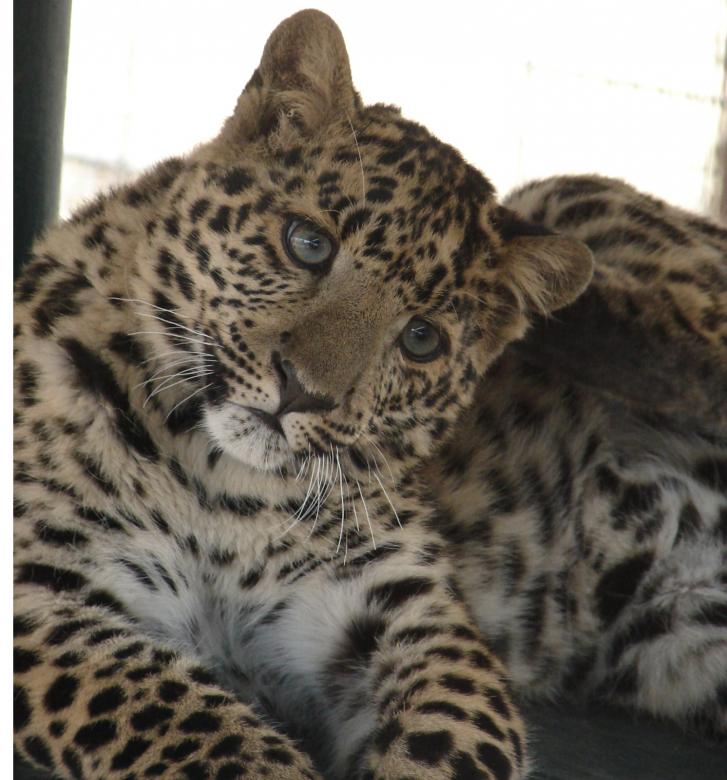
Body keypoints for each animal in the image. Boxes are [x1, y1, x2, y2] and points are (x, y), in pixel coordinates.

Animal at [13, 9, 726, 780]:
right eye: (307, 243)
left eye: (421, 340)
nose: (303, 393)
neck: (217, 478)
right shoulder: (42, 588)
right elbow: (194, 725)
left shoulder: (408, 614)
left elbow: (441, 746)